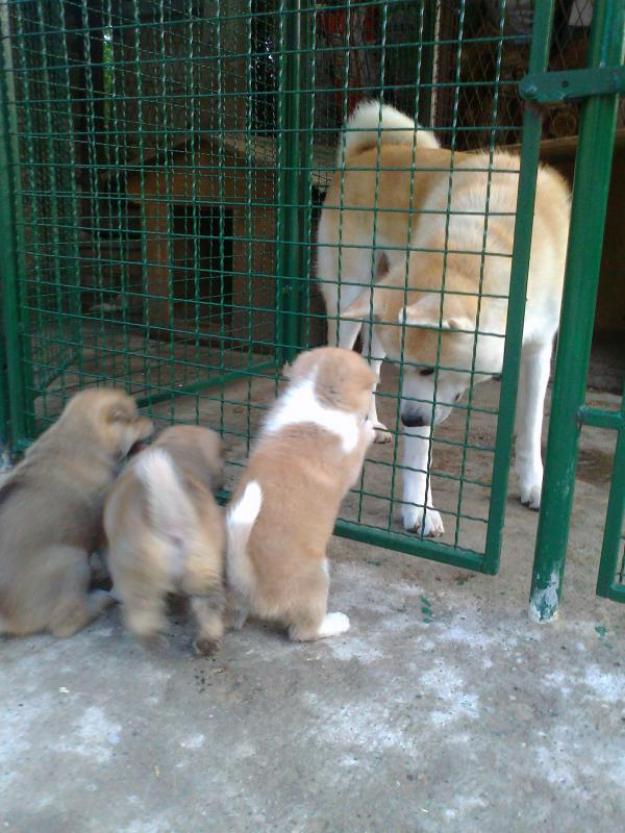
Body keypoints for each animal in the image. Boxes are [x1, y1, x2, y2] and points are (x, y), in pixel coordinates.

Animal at [0, 388, 154, 636]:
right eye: (132, 419)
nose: (151, 421)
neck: (82, 434)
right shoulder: (102, 527)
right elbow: (110, 558)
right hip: (72, 562)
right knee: (66, 622)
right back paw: (100, 600)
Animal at [103, 426, 225, 652]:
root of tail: (173, 521)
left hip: (139, 575)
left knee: (142, 609)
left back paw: (152, 639)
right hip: (204, 570)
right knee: (209, 608)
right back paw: (207, 642)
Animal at [224, 348, 372, 640]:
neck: (316, 394)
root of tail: (252, 584)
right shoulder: (351, 460)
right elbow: (361, 438)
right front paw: (371, 428)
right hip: (318, 577)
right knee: (304, 631)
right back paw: (335, 622)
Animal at [316, 101, 572, 536]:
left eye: (428, 368)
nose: (408, 419)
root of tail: (365, 153)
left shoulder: (538, 350)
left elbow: (530, 426)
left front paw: (534, 485)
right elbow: (419, 456)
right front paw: (419, 510)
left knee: (370, 364)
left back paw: (375, 424)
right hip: (350, 297)